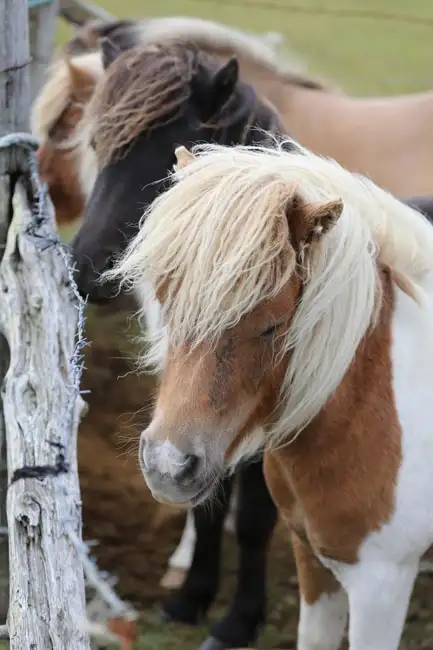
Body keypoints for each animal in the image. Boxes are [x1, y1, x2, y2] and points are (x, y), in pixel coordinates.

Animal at [70, 39, 284, 648]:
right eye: (96, 144)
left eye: (171, 155)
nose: (85, 268)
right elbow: (207, 505)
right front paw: (190, 599)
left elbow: (255, 519)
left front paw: (238, 620)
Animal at [107, 140, 433, 648]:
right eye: (166, 303)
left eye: (273, 327)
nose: (168, 466)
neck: (380, 406)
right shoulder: (314, 559)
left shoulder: (382, 584)